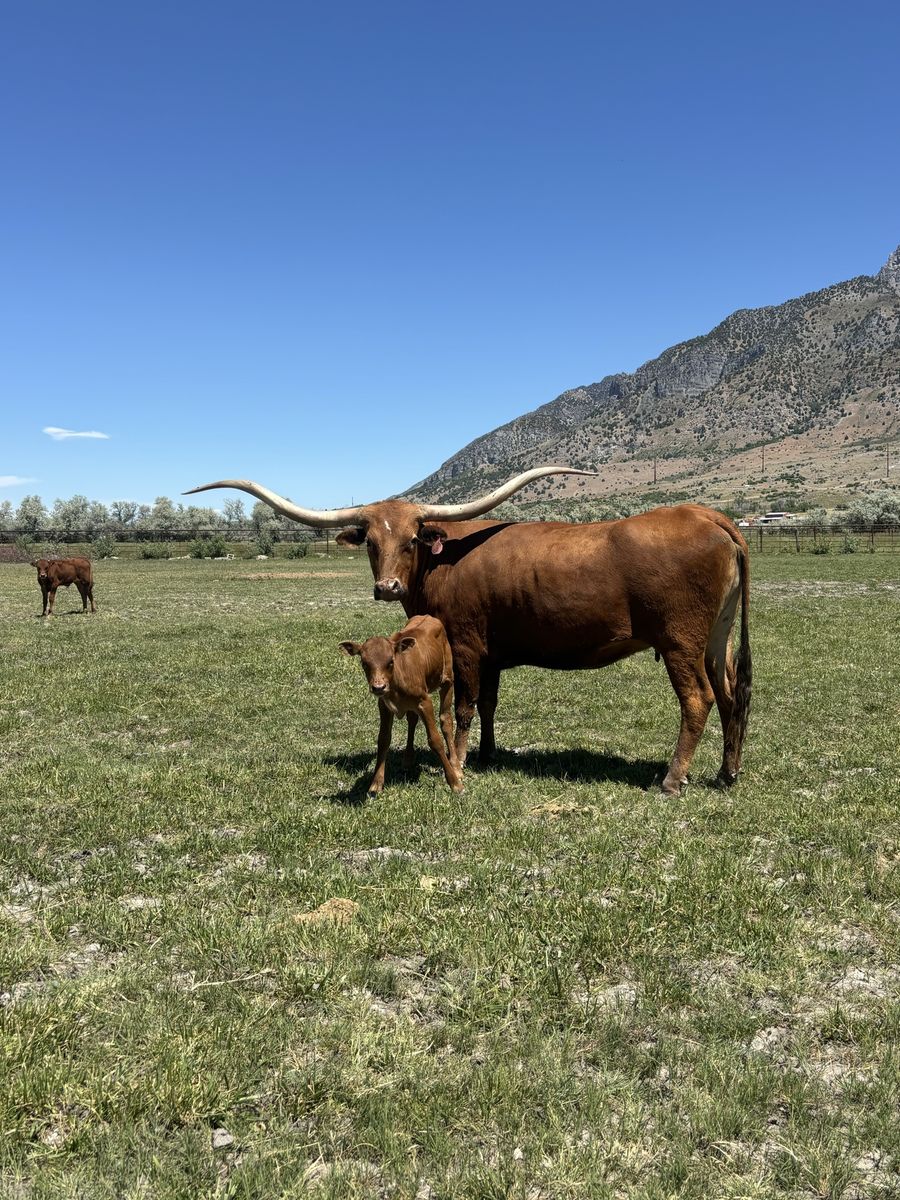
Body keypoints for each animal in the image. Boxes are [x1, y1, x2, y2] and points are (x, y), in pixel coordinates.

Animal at [339, 614, 464, 797]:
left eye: (390, 661)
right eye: (364, 663)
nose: (378, 687)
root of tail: (428, 616)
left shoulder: (424, 702)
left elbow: (435, 740)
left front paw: (454, 783)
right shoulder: (384, 705)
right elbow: (383, 739)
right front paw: (376, 783)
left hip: (447, 679)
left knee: (446, 720)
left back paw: (455, 766)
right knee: (412, 720)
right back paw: (408, 758)